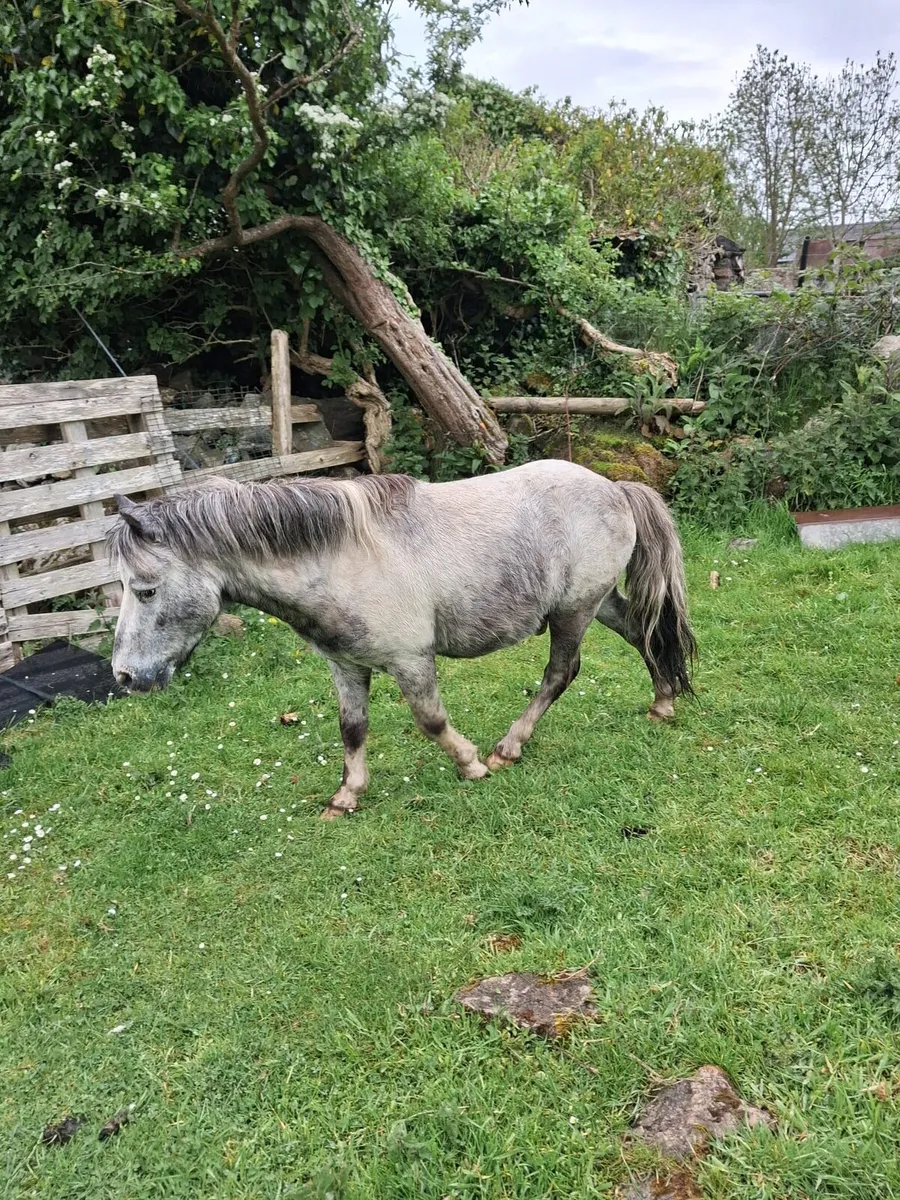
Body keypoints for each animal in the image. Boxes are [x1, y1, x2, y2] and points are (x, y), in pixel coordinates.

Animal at [109, 459, 696, 819]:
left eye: (145, 590)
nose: (124, 676)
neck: (342, 557)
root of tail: (613, 488)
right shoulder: (346, 665)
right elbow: (351, 728)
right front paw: (347, 796)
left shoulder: (411, 659)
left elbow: (430, 721)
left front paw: (470, 764)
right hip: (597, 603)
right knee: (643, 635)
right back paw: (663, 701)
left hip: (574, 611)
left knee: (560, 673)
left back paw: (509, 747)